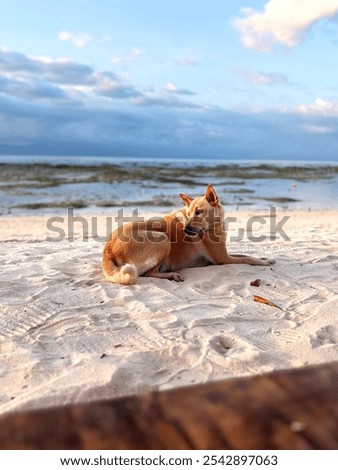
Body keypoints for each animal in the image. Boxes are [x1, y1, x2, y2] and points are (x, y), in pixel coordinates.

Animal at [102, 185, 274, 284]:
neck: (211, 227)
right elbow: (248, 258)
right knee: (148, 273)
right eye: (190, 214)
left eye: (198, 212)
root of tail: (107, 249)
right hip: (163, 240)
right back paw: (172, 275)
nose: (185, 229)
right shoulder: (223, 259)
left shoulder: (225, 254)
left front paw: (265, 258)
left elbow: (244, 254)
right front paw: (263, 262)